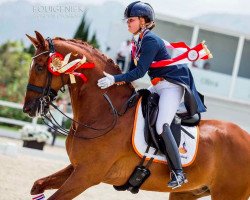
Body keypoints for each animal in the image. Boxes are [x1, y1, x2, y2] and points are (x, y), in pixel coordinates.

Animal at [22, 31, 249, 200]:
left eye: (40, 67)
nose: (28, 109)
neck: (107, 112)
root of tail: (245, 136)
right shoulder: (77, 168)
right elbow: (37, 185)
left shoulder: (87, 175)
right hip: (188, 193)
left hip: (228, 194)